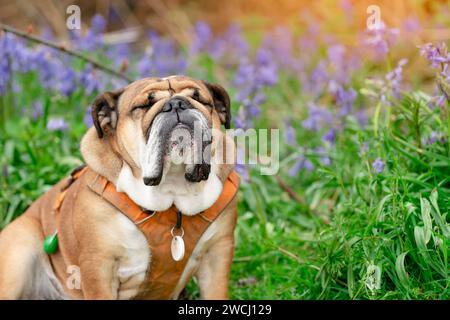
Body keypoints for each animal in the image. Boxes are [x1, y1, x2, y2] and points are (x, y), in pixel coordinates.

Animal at [0, 75, 239, 300]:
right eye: (144, 105)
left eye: (200, 99)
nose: (176, 104)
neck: (173, 191)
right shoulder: (99, 266)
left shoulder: (217, 254)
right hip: (19, 249)